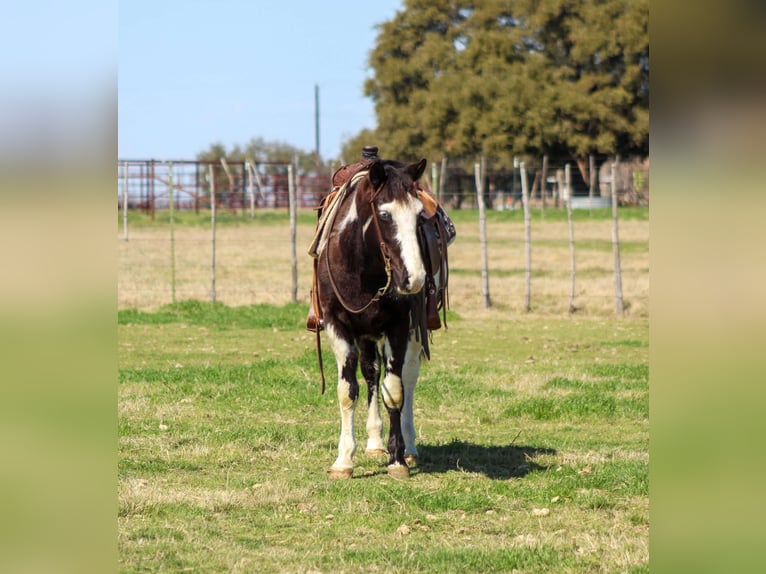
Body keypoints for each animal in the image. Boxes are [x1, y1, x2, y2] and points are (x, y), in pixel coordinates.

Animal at [316, 158, 428, 482]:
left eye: (420, 215)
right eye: (385, 214)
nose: (415, 279)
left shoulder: (399, 327)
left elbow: (395, 392)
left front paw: (397, 459)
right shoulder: (337, 326)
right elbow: (347, 391)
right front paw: (344, 460)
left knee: (408, 377)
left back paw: (409, 448)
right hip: (365, 336)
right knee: (370, 374)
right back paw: (375, 443)